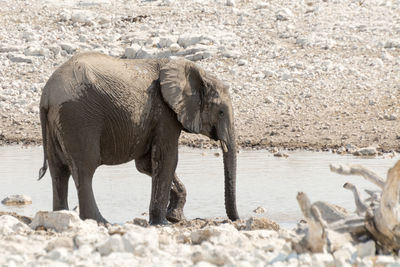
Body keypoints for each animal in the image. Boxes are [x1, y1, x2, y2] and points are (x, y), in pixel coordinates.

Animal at [37, 51, 239, 225]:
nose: (235, 219)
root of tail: (47, 96)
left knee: (59, 172)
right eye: (221, 112)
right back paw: (100, 221)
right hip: (78, 119)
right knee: (84, 170)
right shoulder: (164, 114)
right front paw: (162, 223)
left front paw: (175, 217)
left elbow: (146, 165)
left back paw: (61, 215)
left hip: (57, 124)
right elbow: (167, 160)